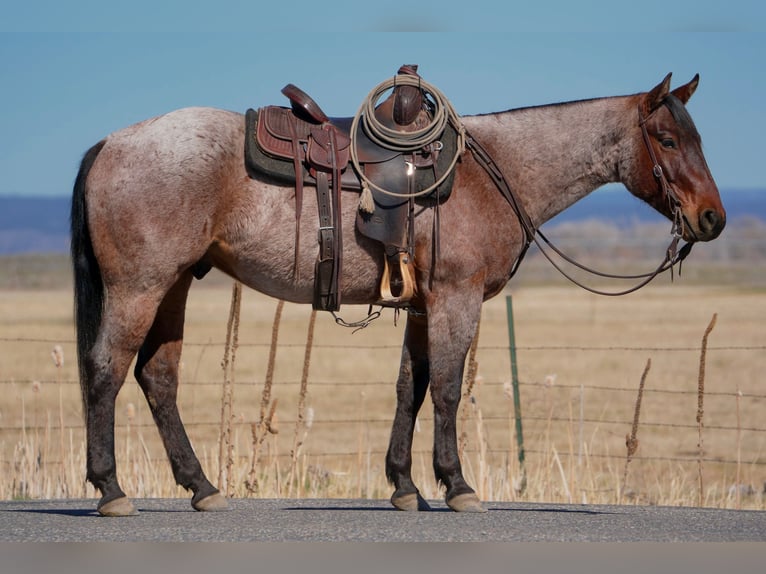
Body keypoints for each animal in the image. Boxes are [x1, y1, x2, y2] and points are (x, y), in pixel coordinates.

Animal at [70, 72, 725, 516]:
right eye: (667, 139)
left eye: (696, 137)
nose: (712, 218)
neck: (493, 171)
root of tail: (111, 143)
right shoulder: (456, 300)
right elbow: (448, 389)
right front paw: (456, 484)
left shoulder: (421, 306)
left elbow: (412, 388)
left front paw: (406, 486)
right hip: (141, 286)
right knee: (106, 369)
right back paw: (111, 488)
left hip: (175, 284)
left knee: (158, 378)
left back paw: (202, 486)